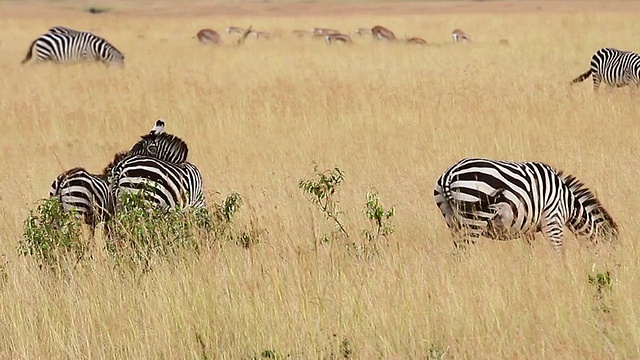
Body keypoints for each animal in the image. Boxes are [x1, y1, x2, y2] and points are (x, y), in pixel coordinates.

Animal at [432, 156, 616, 252]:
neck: (569, 203)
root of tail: (449, 174)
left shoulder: (528, 228)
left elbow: (530, 252)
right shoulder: (553, 220)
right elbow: (559, 252)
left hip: (452, 219)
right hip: (474, 219)